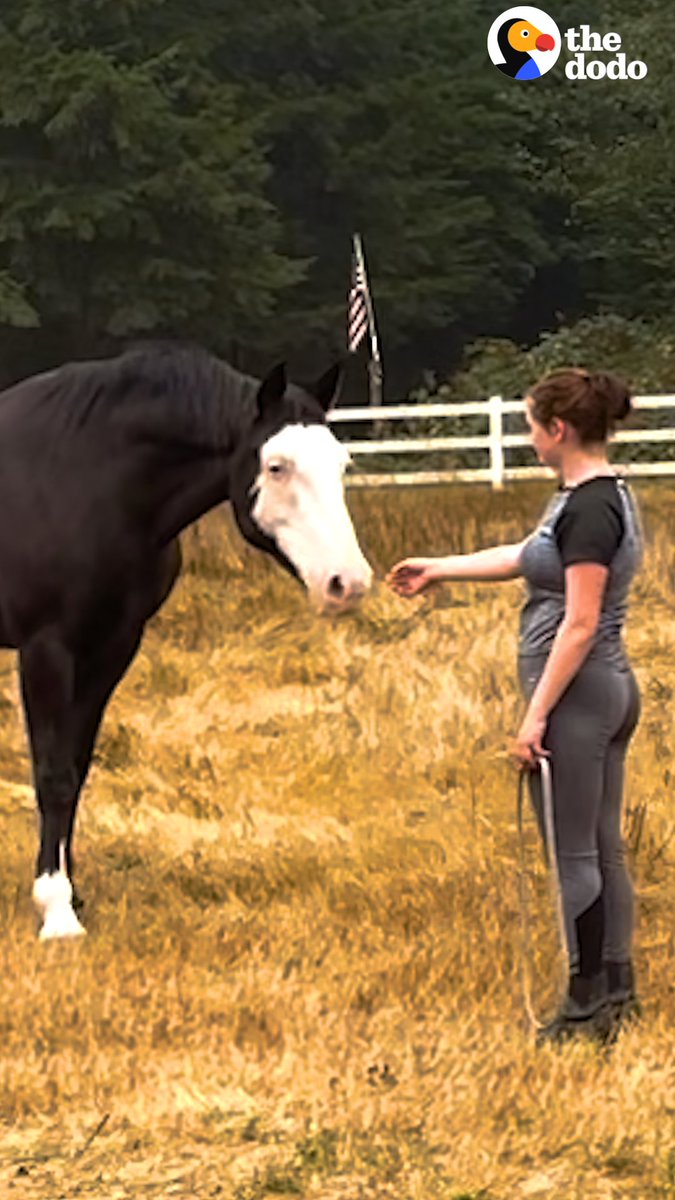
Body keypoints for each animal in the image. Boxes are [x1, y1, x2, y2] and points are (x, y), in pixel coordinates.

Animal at [0, 343, 372, 939]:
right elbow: (53, 774)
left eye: (341, 464)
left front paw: (75, 896)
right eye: (276, 466)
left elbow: (77, 771)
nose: (347, 583)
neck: (83, 481)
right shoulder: (47, 648)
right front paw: (57, 912)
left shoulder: (110, 647)